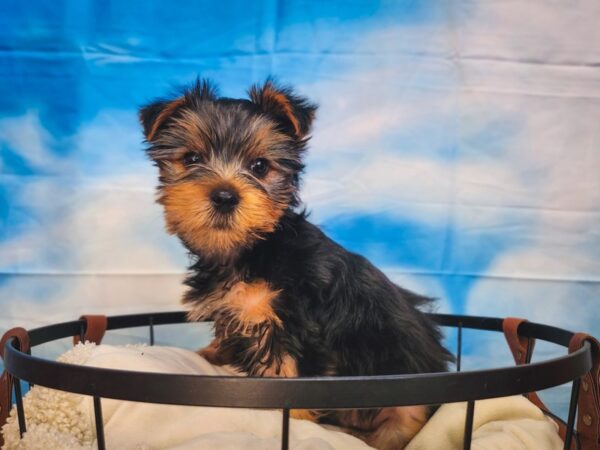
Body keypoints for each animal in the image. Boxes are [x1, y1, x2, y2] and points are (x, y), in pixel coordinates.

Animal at [139, 79, 450, 448]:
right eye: (191, 159)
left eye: (260, 167)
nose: (225, 196)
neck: (252, 248)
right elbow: (229, 333)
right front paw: (209, 354)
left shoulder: (296, 323)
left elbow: (289, 376)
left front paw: (296, 422)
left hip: (403, 394)